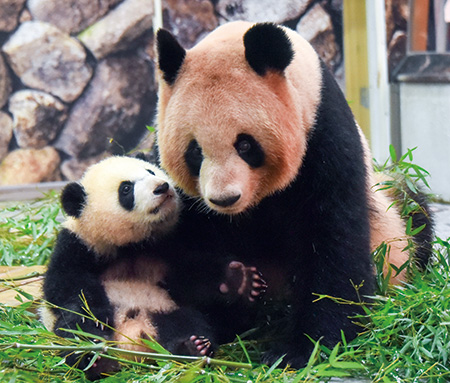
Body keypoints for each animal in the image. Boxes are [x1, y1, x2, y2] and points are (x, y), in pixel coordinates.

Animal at [154, 21, 432, 368]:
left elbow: (332, 239)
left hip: (395, 220)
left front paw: (302, 349)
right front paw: (232, 285)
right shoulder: (186, 200)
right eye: (195, 151)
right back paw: (190, 343)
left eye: (245, 144)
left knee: (416, 216)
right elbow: (181, 255)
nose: (224, 199)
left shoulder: (323, 137)